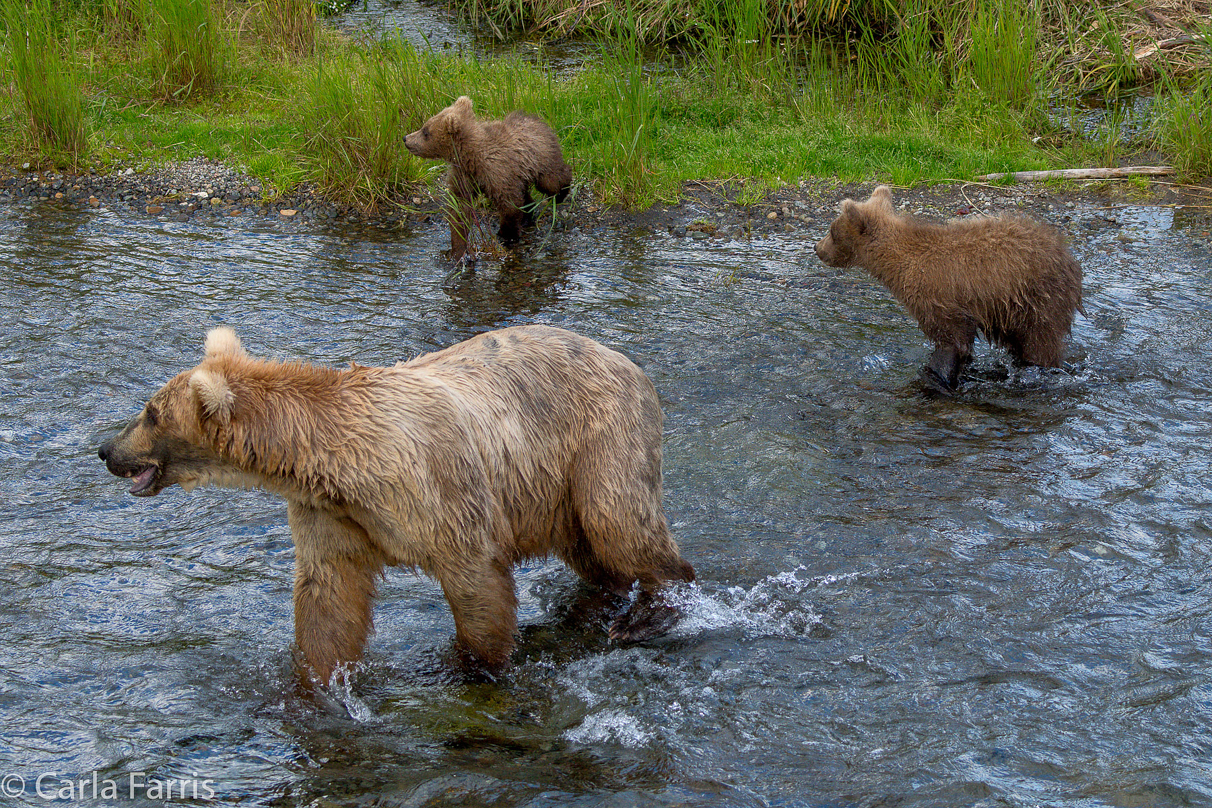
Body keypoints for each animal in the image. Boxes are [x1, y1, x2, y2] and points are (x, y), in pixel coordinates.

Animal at [99, 324, 698, 688]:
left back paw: (648, 613)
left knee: (618, 521)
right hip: (557, 485)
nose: (106, 449)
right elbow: (328, 597)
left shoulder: (432, 490)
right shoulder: (332, 514)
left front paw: (468, 666)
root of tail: (627, 361)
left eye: (151, 412)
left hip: (598, 439)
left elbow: (476, 580)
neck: (335, 463)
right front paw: (315, 684)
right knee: (592, 548)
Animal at [404, 95, 569, 260]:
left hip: (541, 158)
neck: (471, 157)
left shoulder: (496, 171)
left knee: (551, 181)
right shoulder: (464, 175)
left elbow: (509, 204)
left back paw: (561, 192)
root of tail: (538, 119)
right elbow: (459, 209)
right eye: (425, 126)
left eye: (426, 131)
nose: (406, 138)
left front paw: (506, 235)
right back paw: (528, 215)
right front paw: (458, 250)